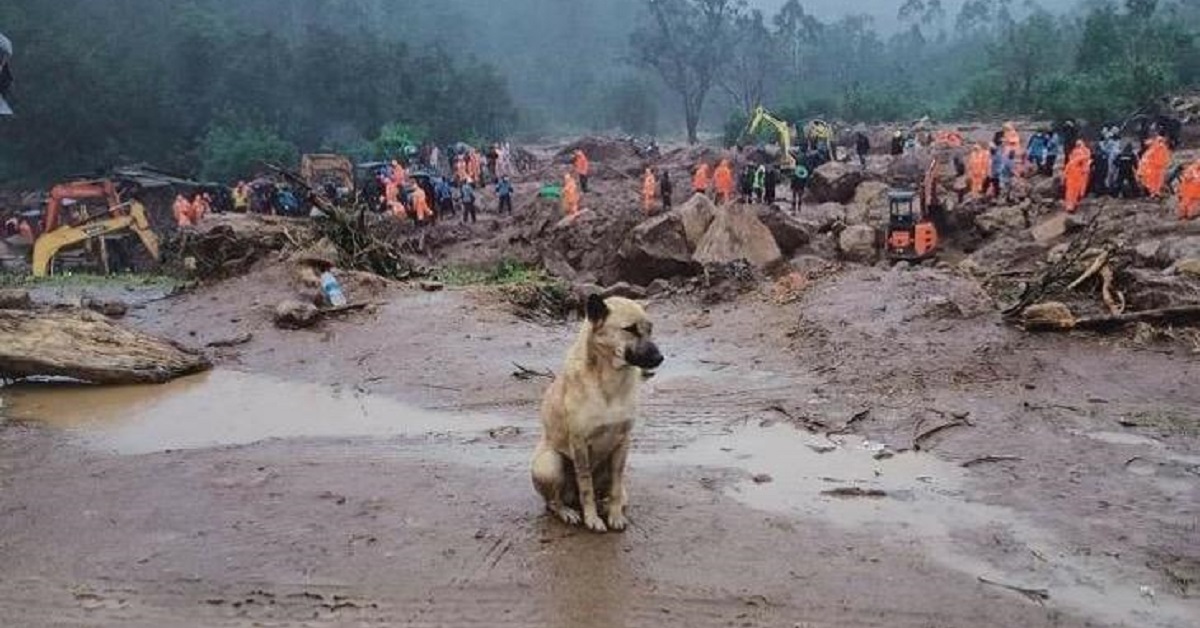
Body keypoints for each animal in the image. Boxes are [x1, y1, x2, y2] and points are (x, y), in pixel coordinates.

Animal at [532, 297, 667, 533]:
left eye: (650, 329)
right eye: (629, 329)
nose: (659, 358)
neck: (610, 381)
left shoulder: (623, 442)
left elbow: (616, 484)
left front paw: (615, 515)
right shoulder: (579, 443)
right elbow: (585, 485)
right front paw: (592, 519)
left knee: (615, 492)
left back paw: (609, 504)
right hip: (549, 465)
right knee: (554, 502)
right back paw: (568, 511)